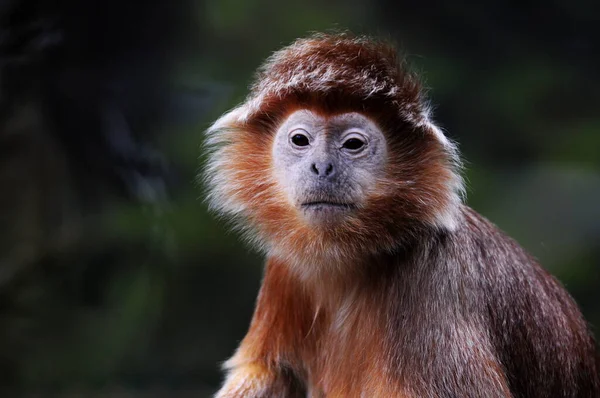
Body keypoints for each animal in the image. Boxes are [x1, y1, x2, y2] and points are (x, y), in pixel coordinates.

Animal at [204, 34, 596, 398]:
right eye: (300, 140)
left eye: (353, 144)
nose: (322, 167)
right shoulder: (284, 269)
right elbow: (271, 373)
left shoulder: (435, 278)